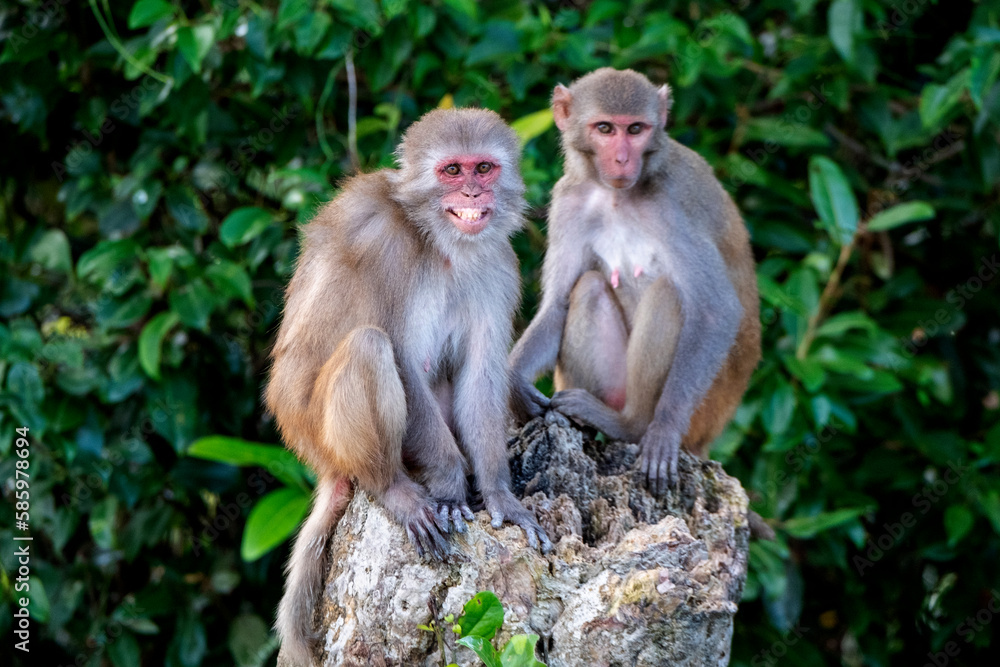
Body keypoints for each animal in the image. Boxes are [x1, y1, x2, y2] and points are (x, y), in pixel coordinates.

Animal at [266, 107, 552, 664]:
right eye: (452, 171)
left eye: (483, 168)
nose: (472, 195)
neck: (437, 239)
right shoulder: (386, 247)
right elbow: (400, 353)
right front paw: (448, 486)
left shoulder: (497, 262)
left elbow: (480, 375)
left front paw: (497, 493)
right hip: (320, 431)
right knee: (369, 347)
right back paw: (393, 488)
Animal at [512, 69, 760, 500]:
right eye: (605, 129)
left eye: (636, 129)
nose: (622, 159)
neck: (616, 196)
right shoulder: (569, 201)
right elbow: (558, 303)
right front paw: (513, 383)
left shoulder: (670, 206)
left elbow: (716, 310)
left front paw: (663, 429)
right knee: (589, 287)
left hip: (707, 408)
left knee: (669, 295)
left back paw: (634, 425)